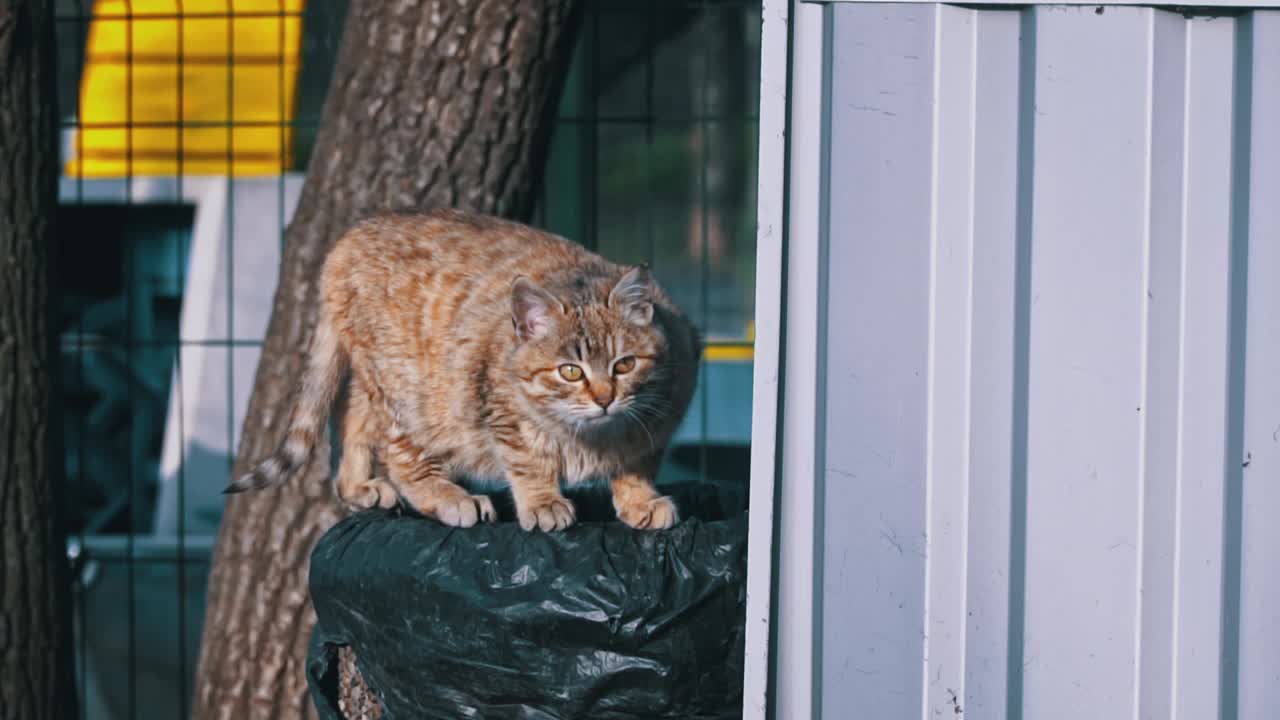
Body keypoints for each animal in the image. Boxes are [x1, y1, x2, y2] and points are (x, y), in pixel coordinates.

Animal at [230, 207, 701, 527]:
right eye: (570, 371)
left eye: (625, 365)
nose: (605, 399)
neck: (593, 436)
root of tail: (348, 240)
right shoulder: (496, 402)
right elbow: (526, 458)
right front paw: (542, 501)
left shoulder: (668, 404)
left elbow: (639, 458)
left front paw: (639, 498)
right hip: (404, 387)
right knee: (399, 451)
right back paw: (447, 495)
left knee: (353, 419)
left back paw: (356, 485)